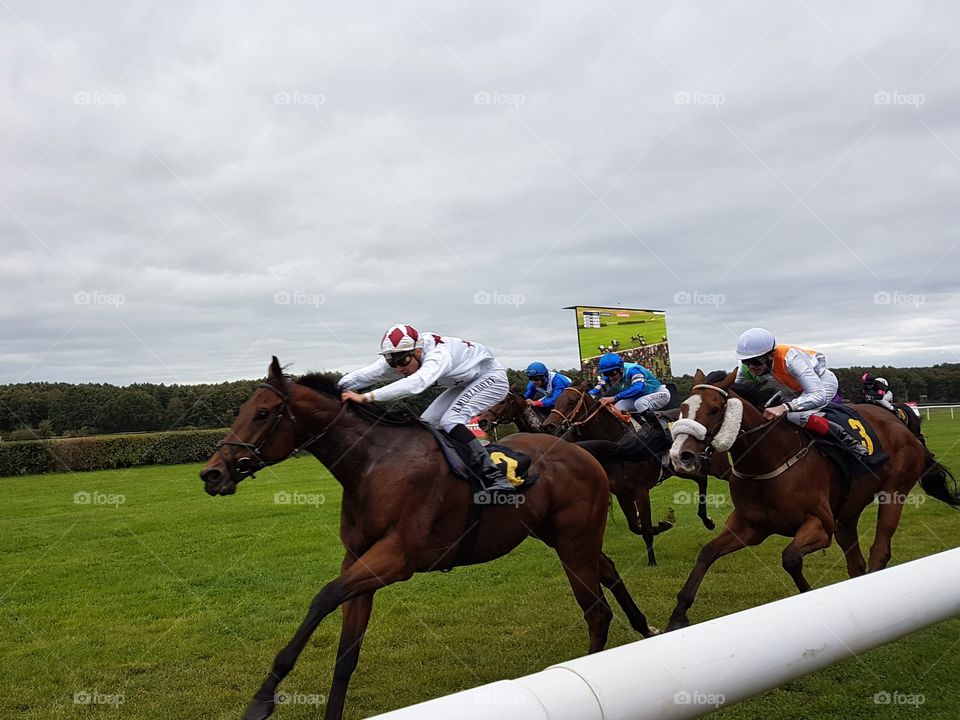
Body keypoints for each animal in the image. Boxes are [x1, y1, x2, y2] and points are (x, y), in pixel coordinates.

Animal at [199, 358, 656, 720]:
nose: (212, 473)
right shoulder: (359, 561)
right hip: (563, 538)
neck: (373, 465)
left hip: (573, 543)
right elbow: (346, 656)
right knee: (609, 570)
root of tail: (583, 450)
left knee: (597, 613)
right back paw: (644, 626)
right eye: (243, 410)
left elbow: (324, 597)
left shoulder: (398, 559)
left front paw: (262, 699)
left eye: (263, 413)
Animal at [540, 386, 728, 564]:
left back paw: (709, 521)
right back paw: (707, 520)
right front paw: (663, 524)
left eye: (572, 401)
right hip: (676, 469)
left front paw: (652, 561)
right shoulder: (622, 493)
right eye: (556, 400)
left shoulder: (640, 490)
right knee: (701, 479)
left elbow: (645, 528)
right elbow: (635, 527)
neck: (618, 445)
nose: (549, 425)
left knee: (704, 479)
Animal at [668, 372, 960, 632]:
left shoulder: (819, 525)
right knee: (856, 562)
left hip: (894, 492)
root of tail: (902, 426)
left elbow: (790, 558)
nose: (680, 455)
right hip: (846, 512)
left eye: (715, 409)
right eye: (682, 409)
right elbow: (707, 552)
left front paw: (808, 595)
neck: (769, 461)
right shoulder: (750, 527)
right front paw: (678, 615)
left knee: (880, 549)